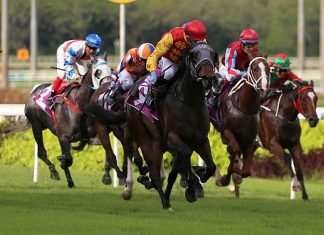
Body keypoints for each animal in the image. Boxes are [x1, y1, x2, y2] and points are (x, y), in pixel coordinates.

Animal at [24, 57, 112, 188]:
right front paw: (64, 166)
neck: (79, 105)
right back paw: (55, 173)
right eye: (98, 72)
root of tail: (33, 92)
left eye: (110, 70)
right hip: (36, 125)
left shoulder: (93, 135)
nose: (108, 87)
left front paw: (107, 177)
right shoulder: (63, 137)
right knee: (41, 152)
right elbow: (68, 159)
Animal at [123, 40, 219, 209]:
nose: (208, 78)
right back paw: (163, 201)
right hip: (144, 137)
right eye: (194, 56)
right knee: (153, 171)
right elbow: (186, 154)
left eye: (213, 55)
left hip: (158, 143)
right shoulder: (172, 138)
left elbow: (210, 166)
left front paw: (200, 175)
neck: (189, 103)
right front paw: (192, 187)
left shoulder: (201, 140)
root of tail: (131, 91)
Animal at [211, 52, 270, 196]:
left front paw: (233, 177)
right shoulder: (226, 132)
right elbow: (234, 151)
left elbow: (246, 171)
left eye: (269, 69)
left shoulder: (249, 139)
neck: (245, 108)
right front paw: (225, 178)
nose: (264, 89)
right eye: (254, 68)